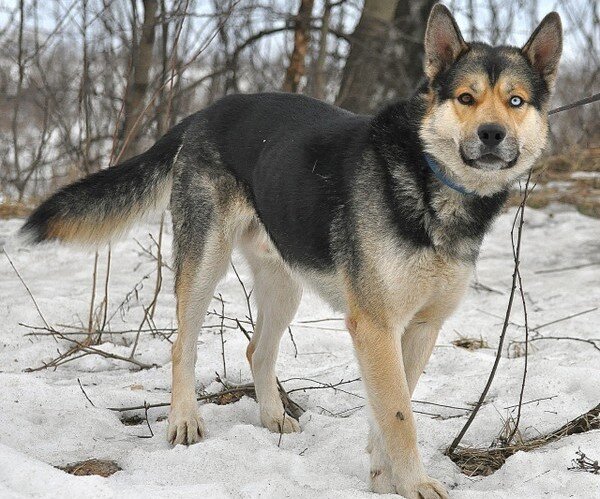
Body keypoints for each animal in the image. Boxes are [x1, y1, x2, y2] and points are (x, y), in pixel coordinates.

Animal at [19, 4, 564, 499]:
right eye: (466, 98)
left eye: (515, 101)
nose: (491, 134)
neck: (429, 178)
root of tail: (206, 112)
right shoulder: (376, 326)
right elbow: (398, 415)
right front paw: (414, 484)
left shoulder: (420, 328)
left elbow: (393, 407)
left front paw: (383, 478)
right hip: (205, 263)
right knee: (181, 345)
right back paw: (184, 422)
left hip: (286, 283)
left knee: (257, 349)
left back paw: (273, 418)